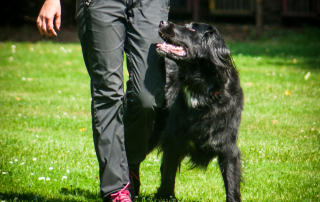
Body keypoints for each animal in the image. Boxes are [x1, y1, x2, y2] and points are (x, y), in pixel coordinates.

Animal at [147, 20, 242, 202]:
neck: (202, 90)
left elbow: (232, 184)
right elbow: (167, 175)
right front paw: (164, 196)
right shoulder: (173, 141)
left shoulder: (228, 147)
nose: (162, 22)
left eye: (191, 29)